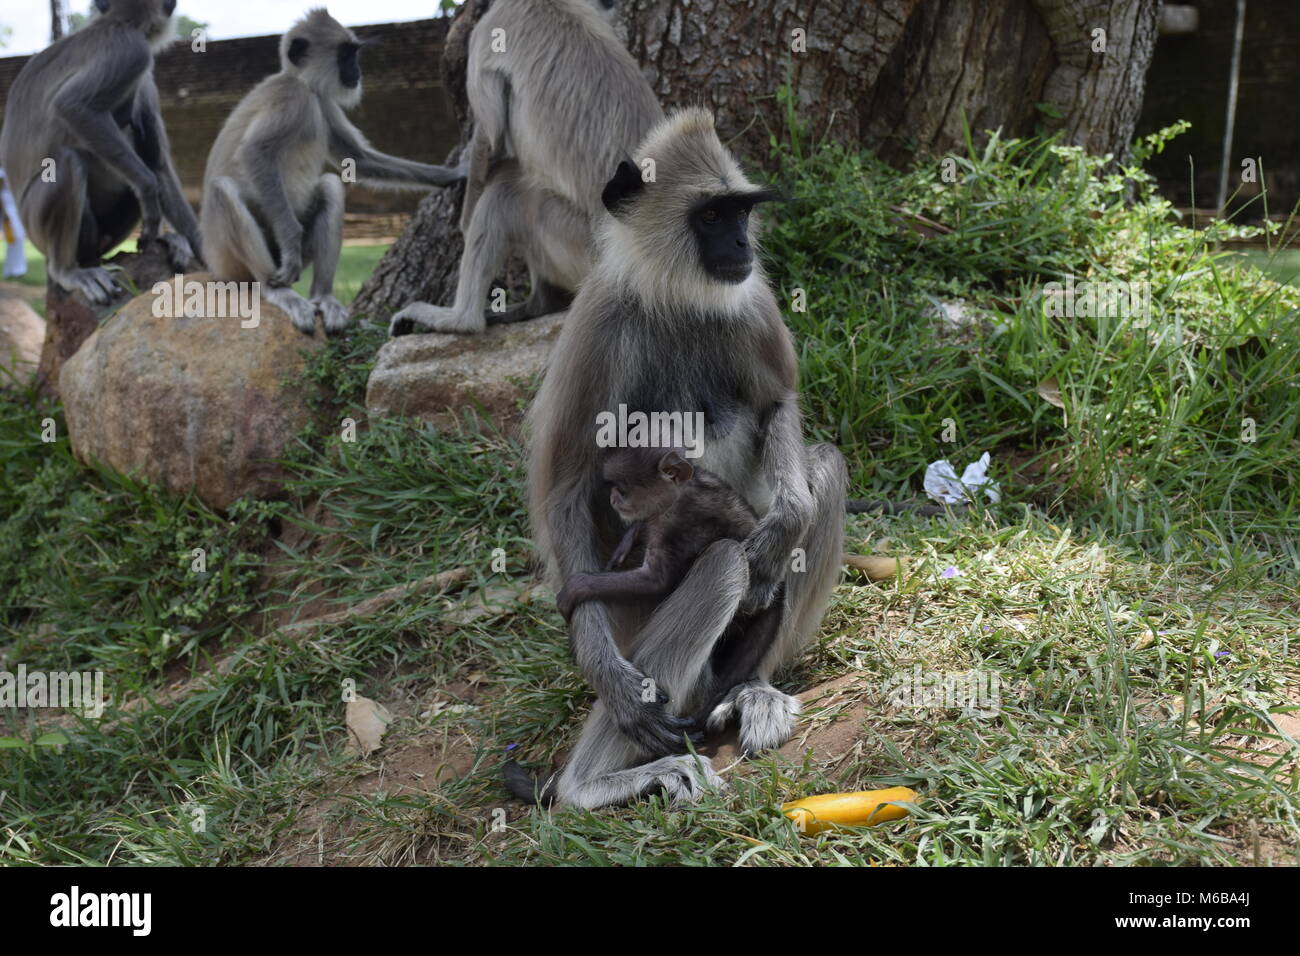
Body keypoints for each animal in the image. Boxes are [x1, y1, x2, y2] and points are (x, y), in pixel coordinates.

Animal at [0, 0, 201, 303]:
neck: (115, 23)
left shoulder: (143, 75)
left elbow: (158, 166)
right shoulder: (133, 52)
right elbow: (73, 107)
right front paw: (147, 190)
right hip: (37, 229)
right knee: (69, 162)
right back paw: (66, 271)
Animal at [197, 7, 467, 335]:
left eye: (355, 54)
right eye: (346, 54)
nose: (357, 71)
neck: (303, 83)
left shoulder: (323, 102)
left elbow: (359, 159)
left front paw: (455, 173)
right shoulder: (293, 97)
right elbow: (254, 153)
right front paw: (290, 247)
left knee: (330, 185)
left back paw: (323, 297)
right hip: (226, 261)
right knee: (223, 190)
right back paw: (278, 290)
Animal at [387, 0, 665, 335]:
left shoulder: (488, 30)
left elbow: (491, 136)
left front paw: (464, 222)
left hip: (576, 240)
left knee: (506, 190)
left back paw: (461, 320)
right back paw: (538, 305)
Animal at [556, 447, 785, 723]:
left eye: (622, 489)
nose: (612, 498)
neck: (683, 490)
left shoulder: (678, 523)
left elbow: (656, 581)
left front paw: (578, 586)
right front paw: (630, 537)